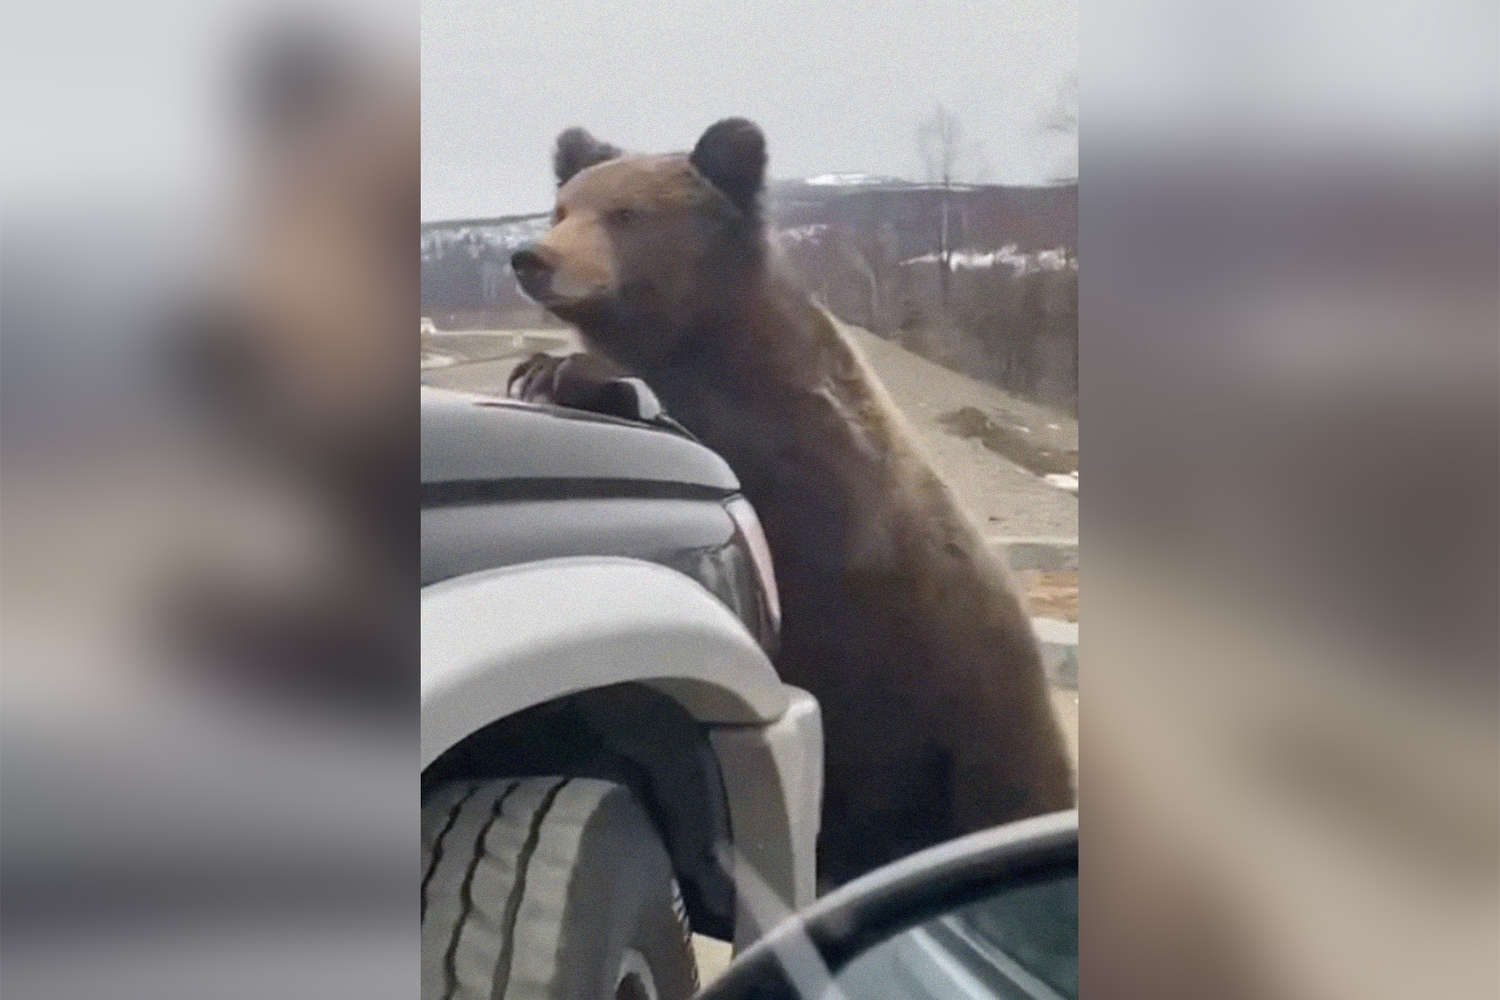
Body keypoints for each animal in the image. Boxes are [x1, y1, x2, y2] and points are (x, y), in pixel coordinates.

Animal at [510, 121, 1074, 887]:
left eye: (626, 214)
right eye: (563, 208)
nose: (532, 257)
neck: (705, 336)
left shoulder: (807, 458)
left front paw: (563, 371)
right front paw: (539, 365)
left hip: (974, 720)